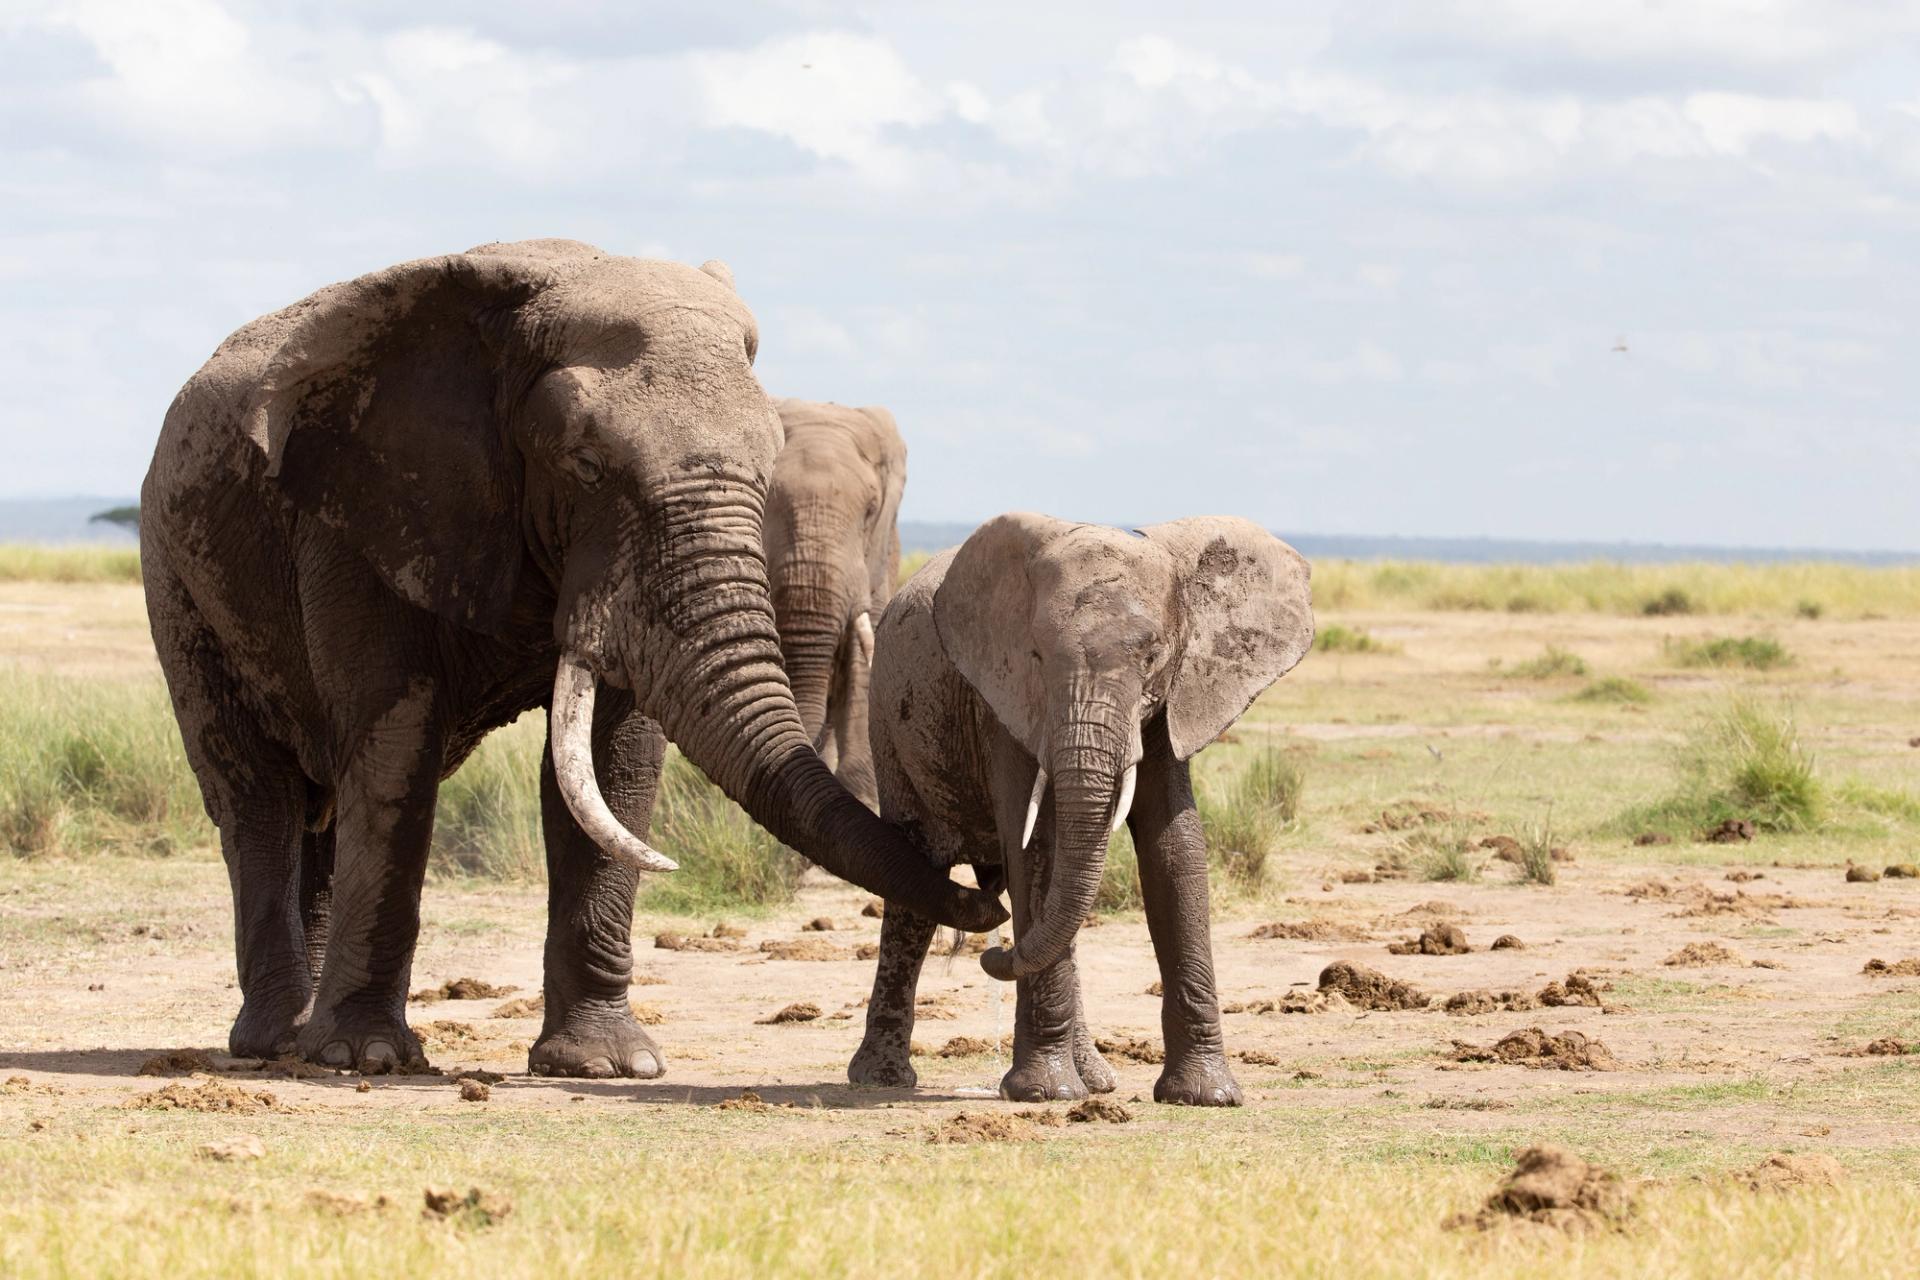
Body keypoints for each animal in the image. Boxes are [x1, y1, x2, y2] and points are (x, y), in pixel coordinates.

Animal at [846, 513, 1313, 1105]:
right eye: (1038, 657)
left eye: (1153, 657)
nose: (993, 954)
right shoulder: (1005, 703)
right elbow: (1036, 850)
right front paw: (1042, 1093)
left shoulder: (1174, 700)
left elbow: (1174, 849)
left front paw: (1206, 1096)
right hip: (888, 724)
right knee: (915, 885)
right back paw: (881, 1078)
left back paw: (1095, 1080)